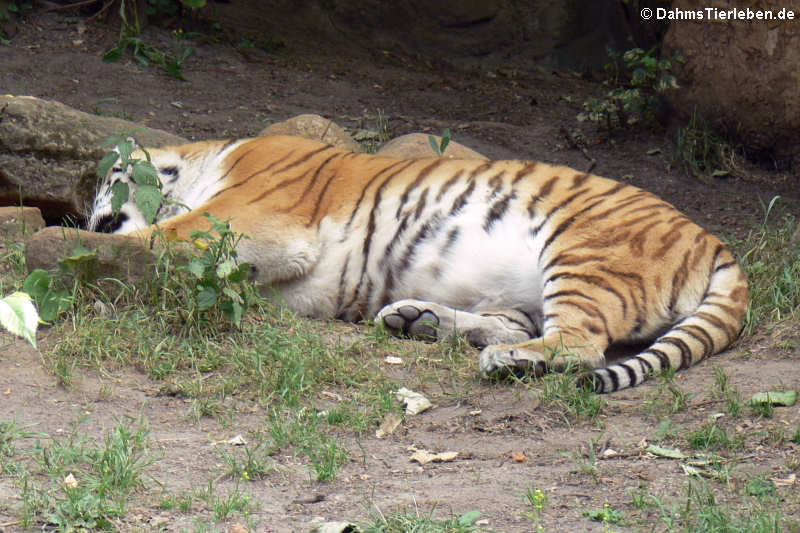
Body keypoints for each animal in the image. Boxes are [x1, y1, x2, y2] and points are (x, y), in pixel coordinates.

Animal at [87, 133, 752, 390]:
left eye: (102, 187)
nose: (88, 215)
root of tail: (713, 241)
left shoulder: (253, 217)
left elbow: (163, 236)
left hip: (581, 251)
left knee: (581, 345)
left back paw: (500, 358)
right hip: (531, 287)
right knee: (521, 323)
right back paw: (418, 321)